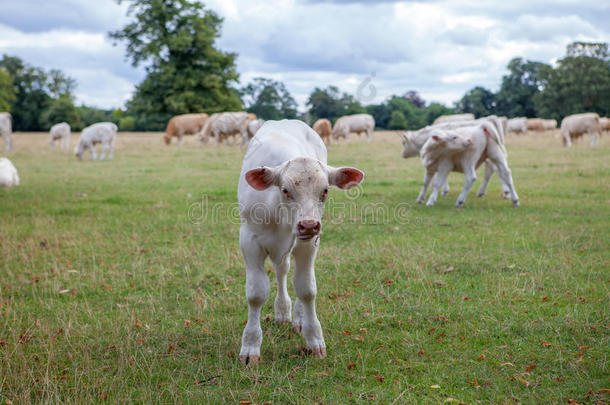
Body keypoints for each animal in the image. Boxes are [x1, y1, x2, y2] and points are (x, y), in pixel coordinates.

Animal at [236, 119, 360, 362]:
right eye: (285, 190)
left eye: (325, 190)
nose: (309, 224)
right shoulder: (249, 240)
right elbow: (256, 294)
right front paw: (250, 346)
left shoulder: (309, 243)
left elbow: (306, 289)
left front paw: (314, 339)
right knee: (282, 270)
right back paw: (283, 312)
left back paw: (299, 319)